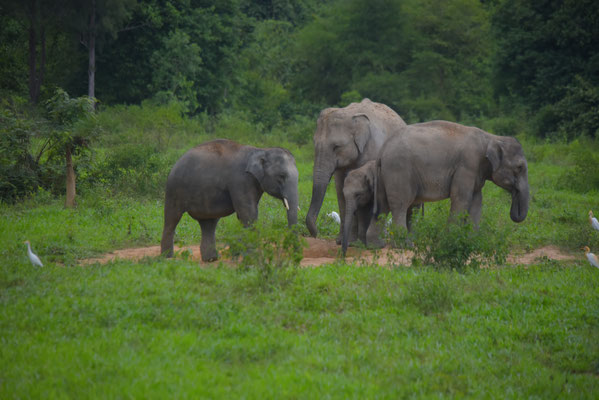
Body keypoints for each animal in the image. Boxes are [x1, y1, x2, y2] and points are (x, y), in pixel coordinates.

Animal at [161, 138, 298, 262]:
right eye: (281, 176)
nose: (293, 255)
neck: (261, 150)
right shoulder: (241, 180)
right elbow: (248, 214)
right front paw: (253, 256)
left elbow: (244, 215)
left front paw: (238, 254)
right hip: (174, 189)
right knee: (172, 219)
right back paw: (167, 258)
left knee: (208, 224)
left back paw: (211, 259)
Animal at [304, 97, 408, 244]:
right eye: (314, 144)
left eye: (336, 147)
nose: (316, 234)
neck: (350, 114)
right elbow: (340, 190)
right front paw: (344, 242)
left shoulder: (372, 150)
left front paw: (358, 242)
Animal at [380, 120, 528, 230]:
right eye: (520, 167)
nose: (514, 213)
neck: (492, 138)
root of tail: (383, 148)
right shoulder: (467, 164)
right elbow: (461, 198)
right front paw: (451, 237)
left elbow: (477, 202)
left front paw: (471, 239)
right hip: (398, 170)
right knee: (401, 205)